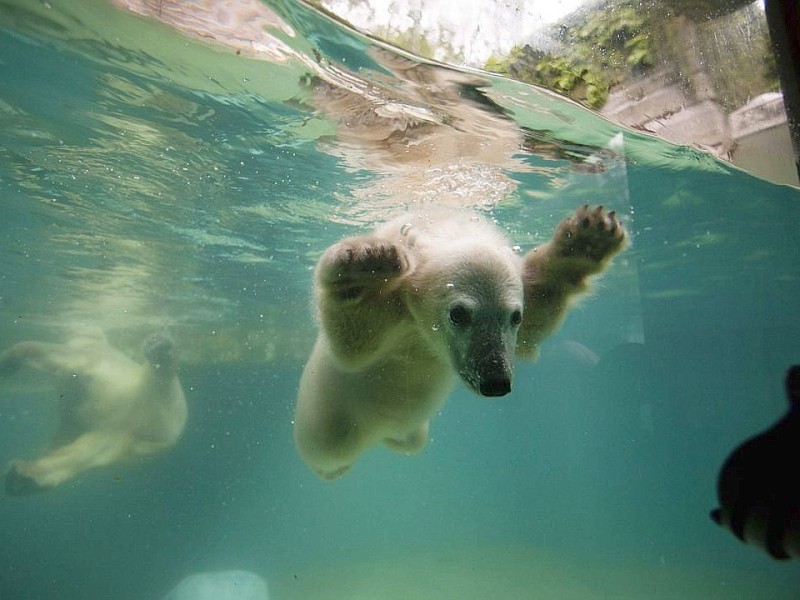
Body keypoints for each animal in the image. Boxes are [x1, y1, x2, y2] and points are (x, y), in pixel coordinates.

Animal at [296, 205, 628, 478]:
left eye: (514, 317)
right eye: (458, 314)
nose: (495, 381)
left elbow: (534, 322)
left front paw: (588, 238)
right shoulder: (397, 307)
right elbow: (354, 345)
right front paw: (366, 263)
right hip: (327, 417)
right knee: (328, 448)